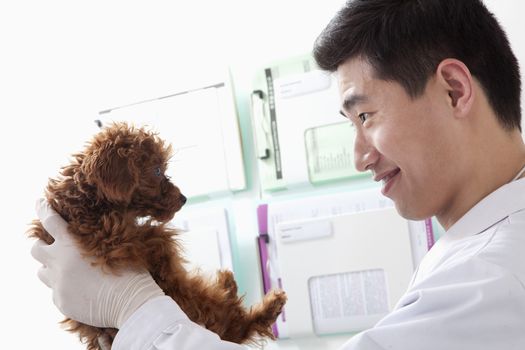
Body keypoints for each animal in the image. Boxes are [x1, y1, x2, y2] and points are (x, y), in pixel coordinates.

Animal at [27, 122, 286, 350]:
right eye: (158, 170)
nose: (184, 198)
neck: (89, 201)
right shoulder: (117, 243)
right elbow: (159, 238)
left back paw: (231, 284)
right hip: (203, 305)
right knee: (236, 321)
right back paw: (260, 298)